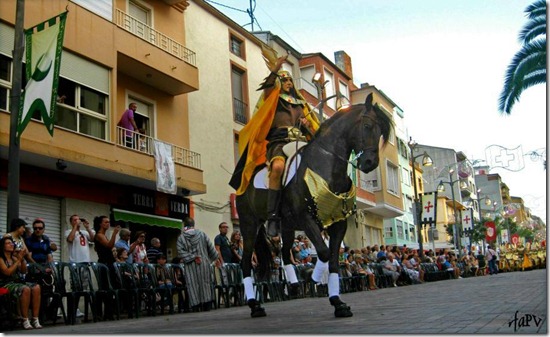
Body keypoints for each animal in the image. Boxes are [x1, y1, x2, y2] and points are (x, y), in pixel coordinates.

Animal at [235, 92, 394, 318]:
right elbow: (324, 253)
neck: (325, 165)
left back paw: (293, 286)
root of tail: (243, 184)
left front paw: (338, 303)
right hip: (249, 225)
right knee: (246, 262)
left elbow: (333, 261)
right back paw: (254, 305)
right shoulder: (307, 219)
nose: (370, 163)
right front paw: (315, 278)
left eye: (381, 131)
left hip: (286, 226)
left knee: (284, 253)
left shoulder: (338, 223)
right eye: (367, 126)